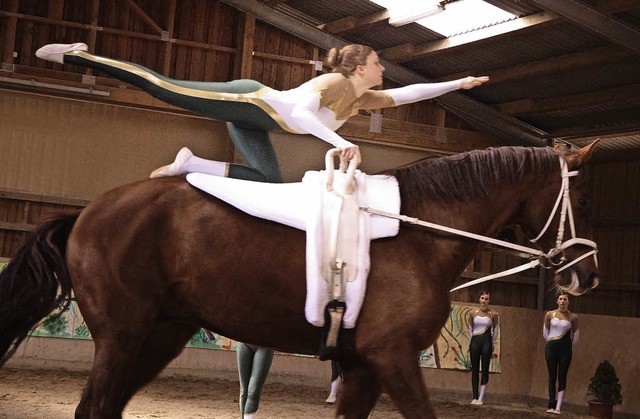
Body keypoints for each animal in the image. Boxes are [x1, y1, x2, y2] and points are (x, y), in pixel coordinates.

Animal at [0, 143, 600, 418]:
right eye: (579, 197)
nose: (587, 273)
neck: (421, 231)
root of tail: (87, 213)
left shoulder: (363, 366)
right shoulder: (393, 357)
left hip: (160, 335)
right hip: (123, 337)